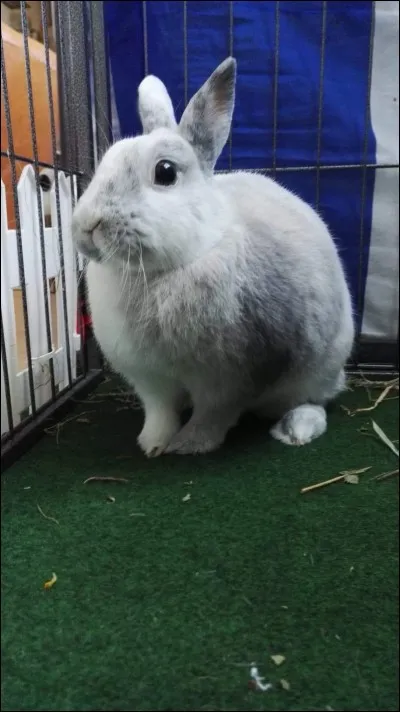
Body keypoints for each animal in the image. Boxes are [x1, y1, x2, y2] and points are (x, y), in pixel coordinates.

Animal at [72, 57, 354, 457]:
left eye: (165, 172)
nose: (87, 225)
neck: (160, 273)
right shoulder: (150, 379)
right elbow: (159, 410)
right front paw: (152, 444)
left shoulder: (228, 381)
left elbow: (213, 415)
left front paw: (189, 446)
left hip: (321, 368)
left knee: (315, 400)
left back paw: (296, 429)